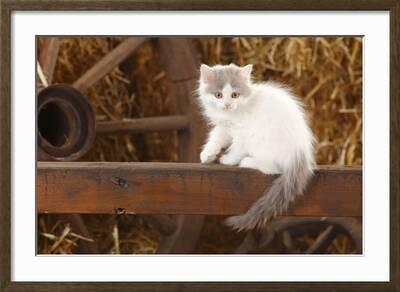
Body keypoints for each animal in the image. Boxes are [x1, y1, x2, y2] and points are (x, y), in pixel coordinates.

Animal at [197, 63, 316, 230]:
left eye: (235, 95)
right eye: (218, 95)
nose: (227, 105)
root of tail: (301, 155)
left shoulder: (243, 133)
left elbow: (236, 149)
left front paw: (228, 160)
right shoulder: (225, 127)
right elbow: (216, 138)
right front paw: (208, 154)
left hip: (262, 142)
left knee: (273, 168)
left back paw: (247, 161)